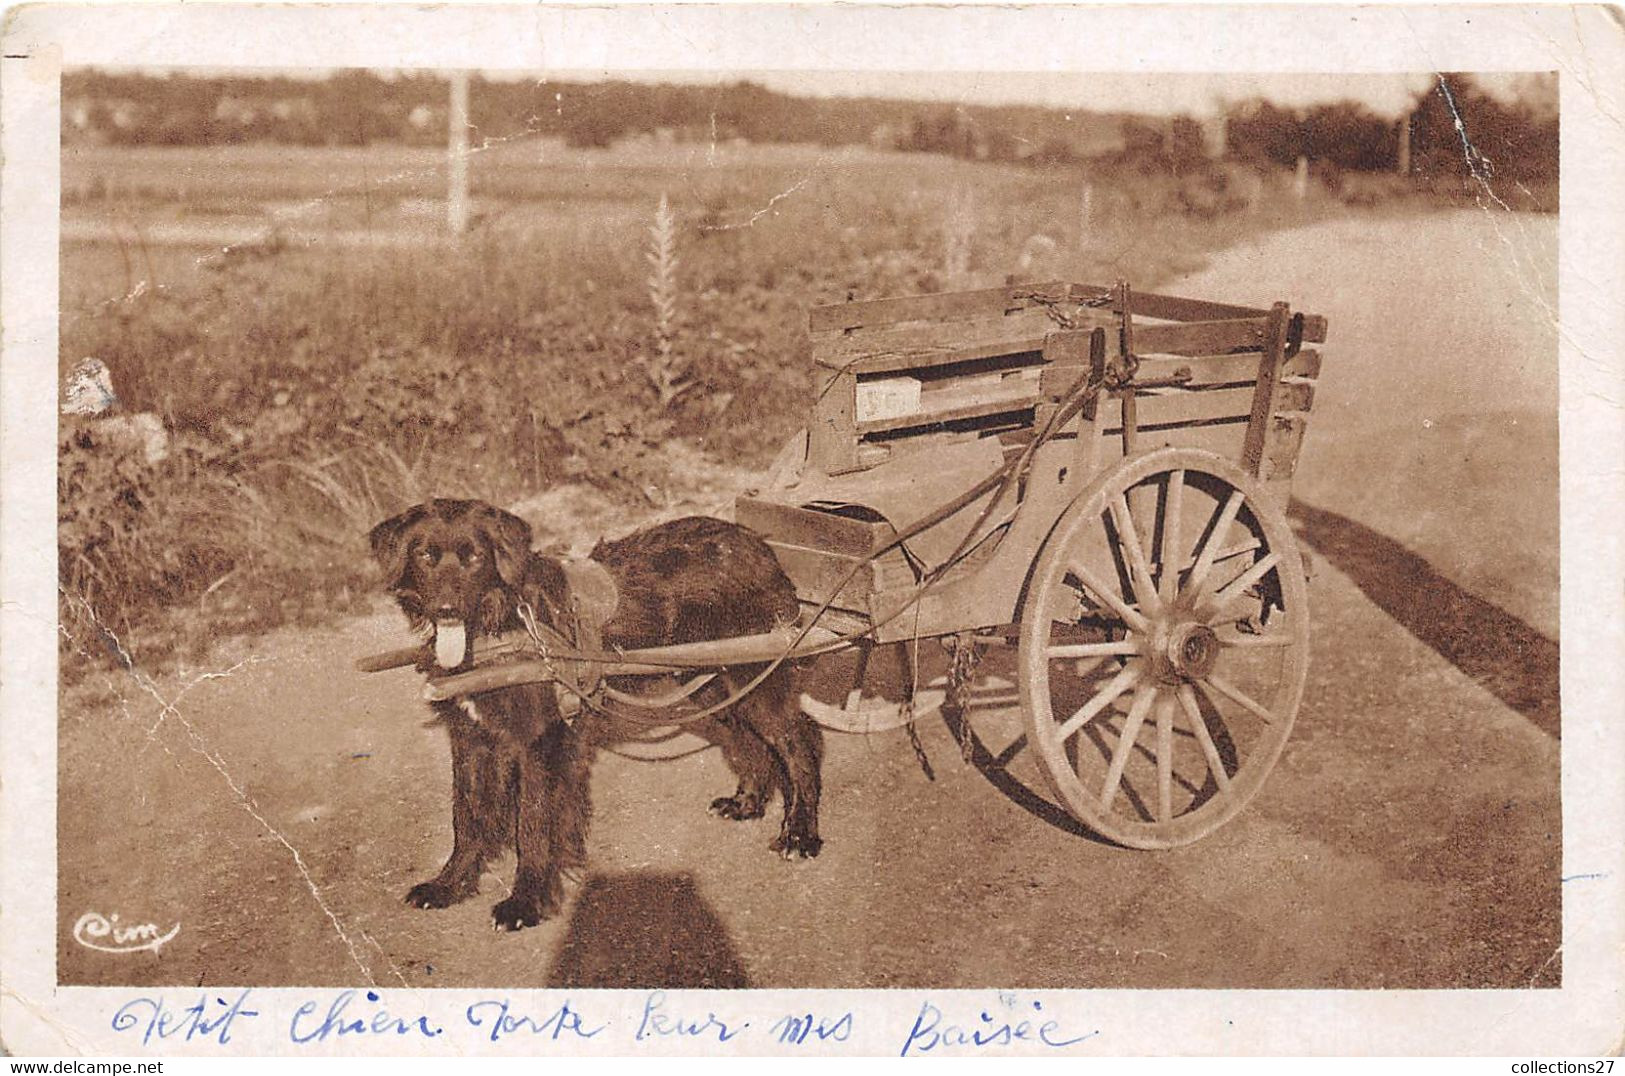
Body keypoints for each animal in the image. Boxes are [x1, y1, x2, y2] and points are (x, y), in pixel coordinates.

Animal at [370, 500, 825, 929]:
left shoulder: (540, 743)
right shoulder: (470, 739)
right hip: (710, 683)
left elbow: (532, 823)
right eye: (426, 556)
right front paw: (449, 884)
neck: (498, 626)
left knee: (799, 741)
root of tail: (758, 545)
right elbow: (466, 817)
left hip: (754, 679)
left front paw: (525, 902)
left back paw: (800, 834)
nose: (446, 609)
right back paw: (746, 802)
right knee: (750, 741)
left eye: (475, 557)